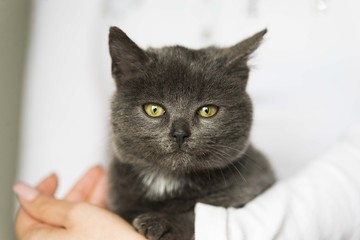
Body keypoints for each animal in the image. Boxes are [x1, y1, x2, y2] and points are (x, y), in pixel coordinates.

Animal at [107, 26, 276, 240]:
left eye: (207, 110)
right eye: (154, 109)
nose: (180, 133)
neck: (167, 180)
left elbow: (200, 211)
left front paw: (162, 223)